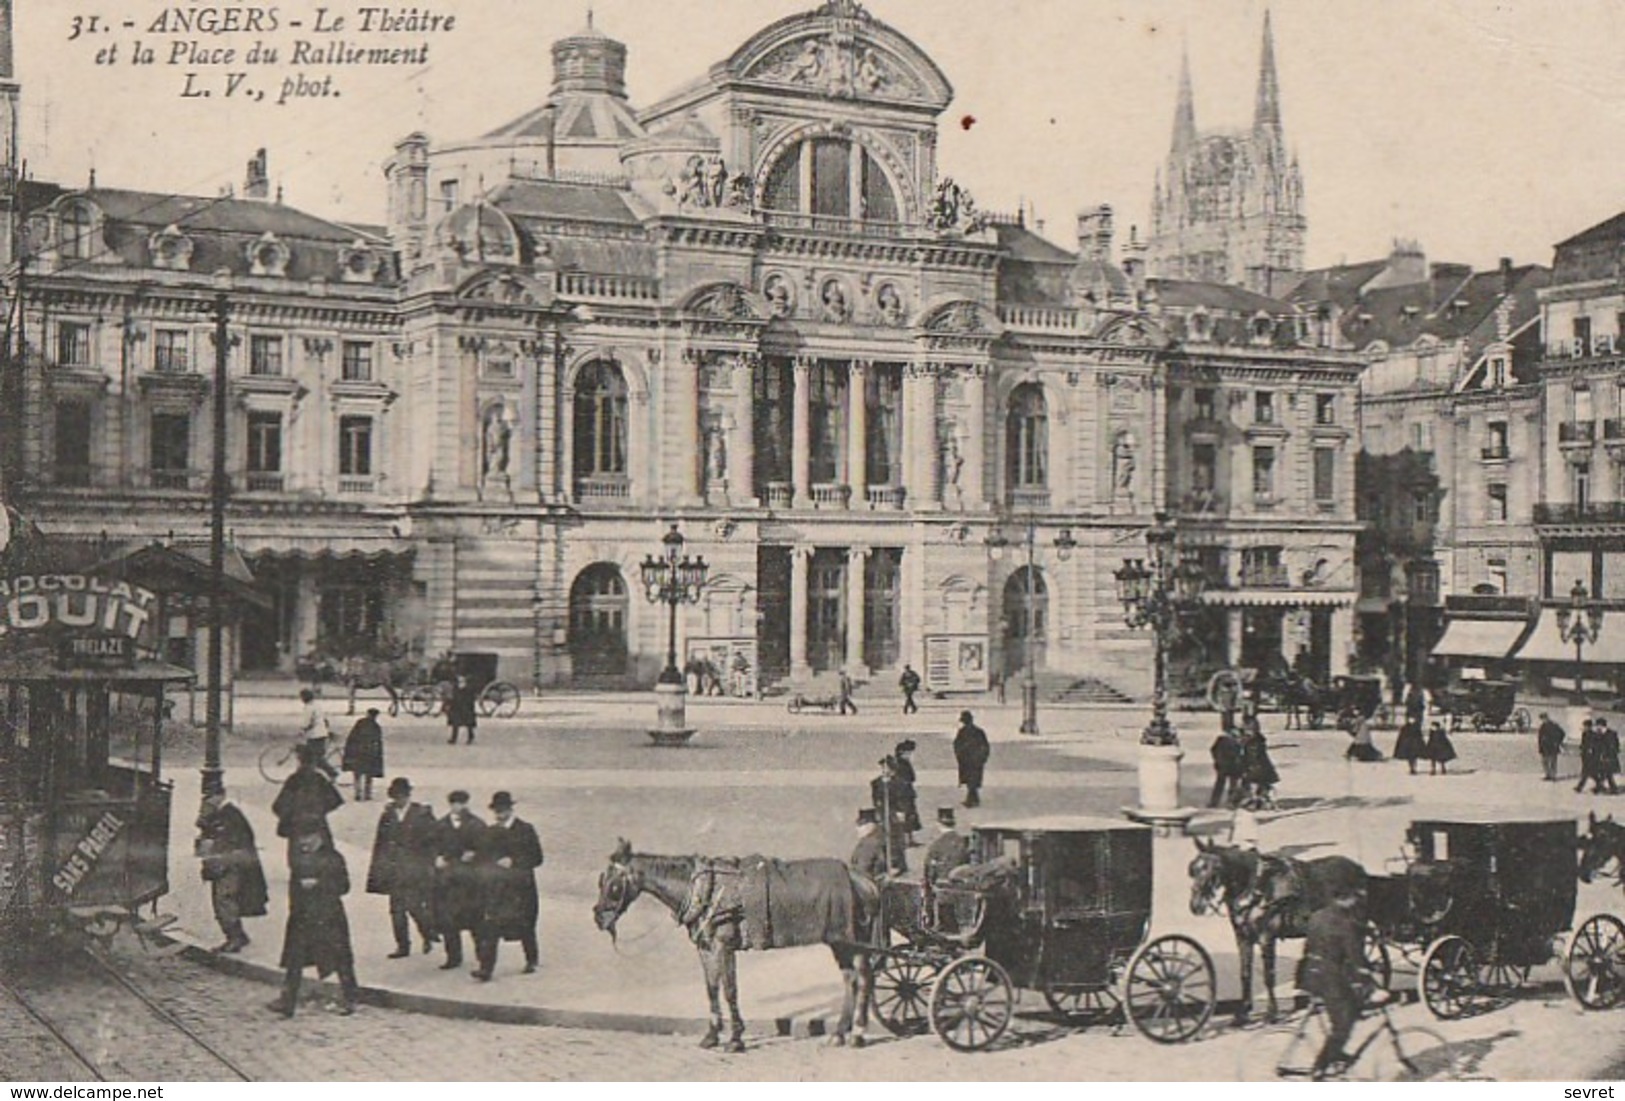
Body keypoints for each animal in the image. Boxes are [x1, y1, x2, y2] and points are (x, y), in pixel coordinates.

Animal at [594, 844, 884, 1052]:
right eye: (601, 880)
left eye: (614, 885)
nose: (598, 917)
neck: (707, 890)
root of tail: (862, 879)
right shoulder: (707, 947)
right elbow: (712, 989)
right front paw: (712, 1035)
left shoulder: (724, 947)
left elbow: (730, 990)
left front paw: (735, 1039)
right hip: (840, 942)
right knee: (850, 979)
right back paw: (839, 1034)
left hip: (852, 940)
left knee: (864, 978)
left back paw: (858, 1034)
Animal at [1189, 837, 1365, 1032]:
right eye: (1193, 869)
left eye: (1214, 869)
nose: (1196, 906)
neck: (1256, 887)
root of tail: (1358, 868)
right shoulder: (1243, 938)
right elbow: (1245, 974)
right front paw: (1242, 1014)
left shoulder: (1266, 938)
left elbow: (1268, 976)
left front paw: (1271, 1014)